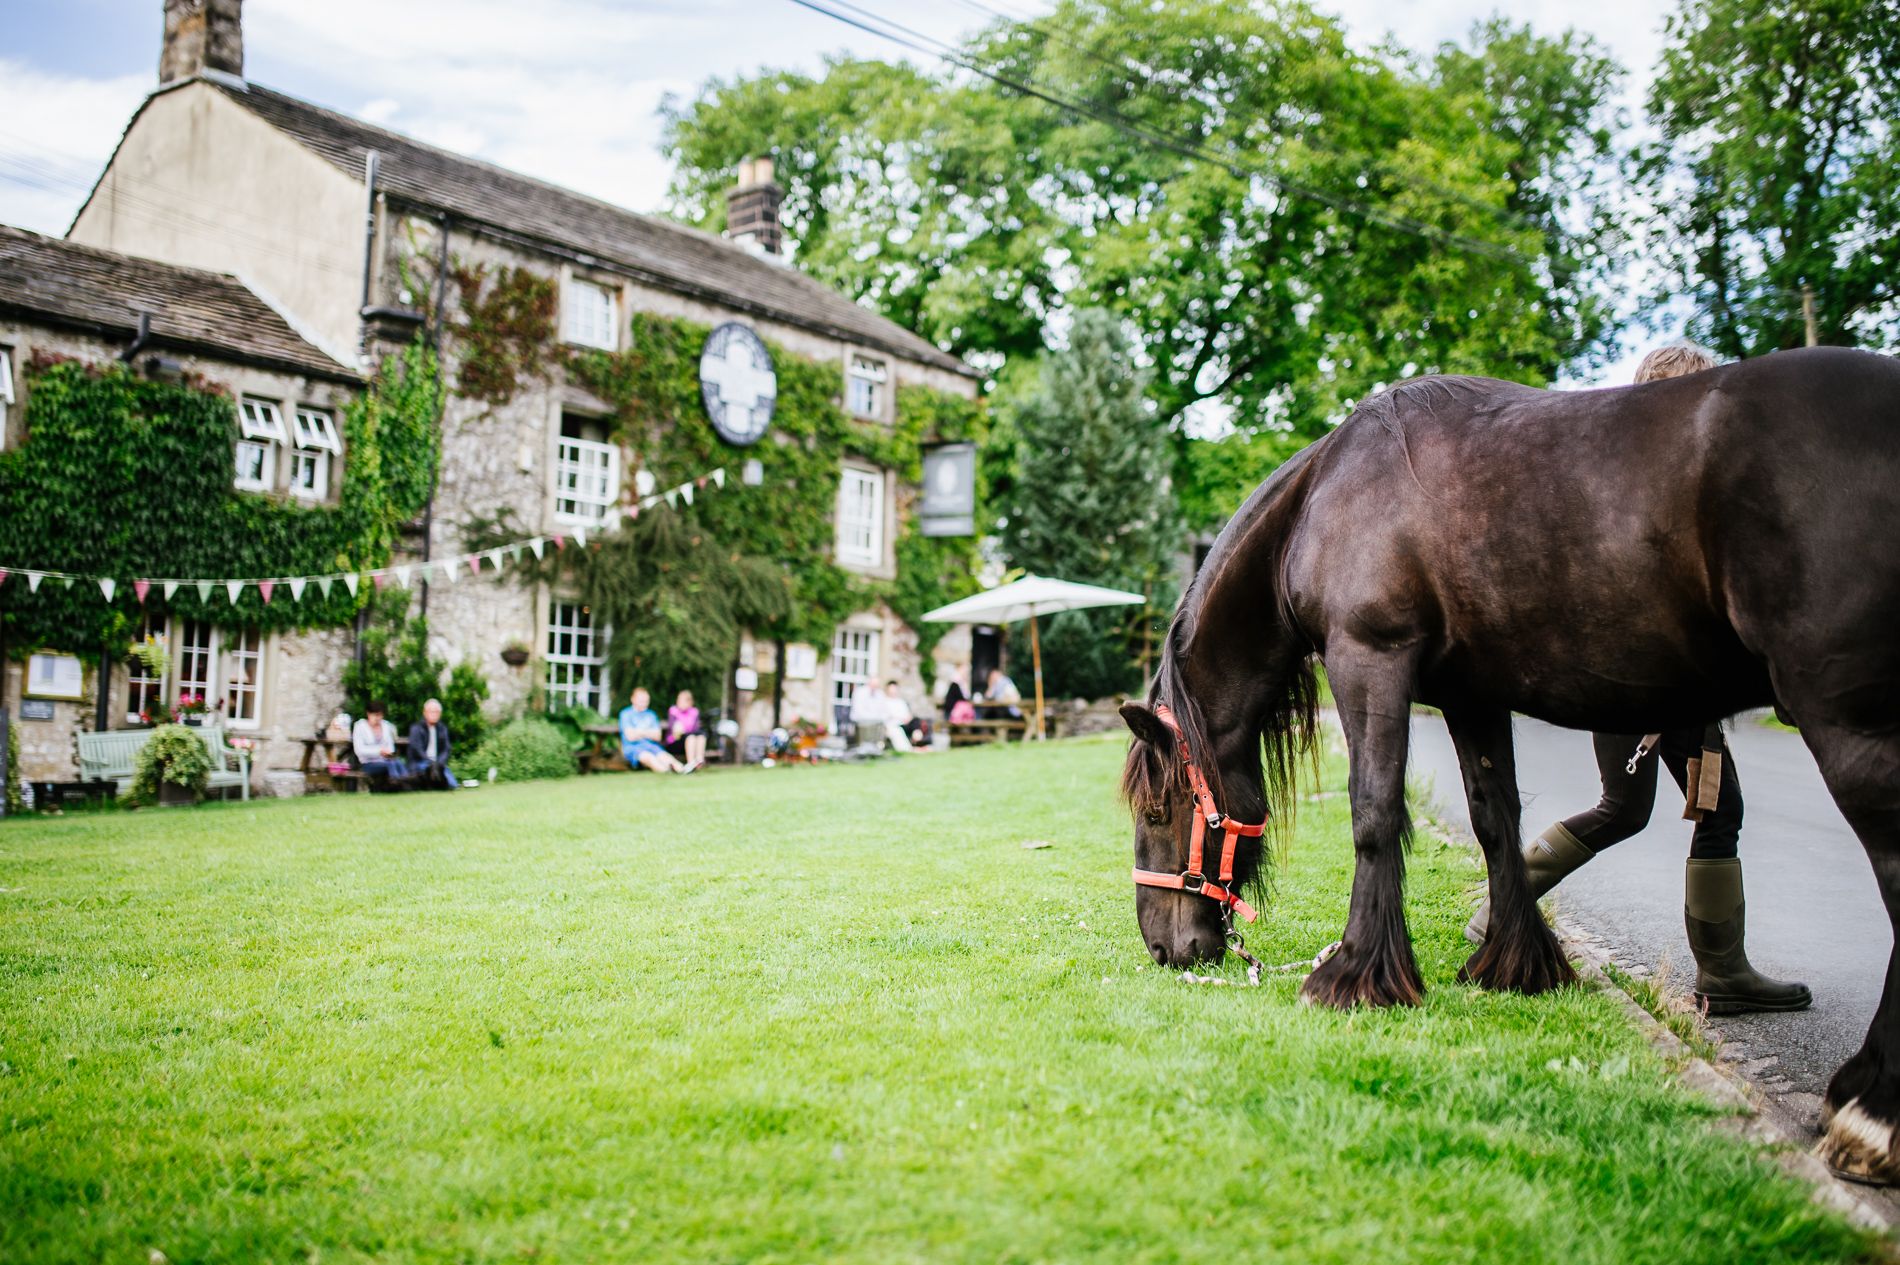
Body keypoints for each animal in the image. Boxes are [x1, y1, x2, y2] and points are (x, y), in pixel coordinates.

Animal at [1117, 341, 1900, 1170]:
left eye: (1158, 810)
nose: (1164, 948)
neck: (1322, 497)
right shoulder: (1472, 696)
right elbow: (1497, 820)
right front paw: (1515, 965)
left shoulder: (1369, 660)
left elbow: (1374, 814)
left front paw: (1356, 974)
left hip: (1850, 726)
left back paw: (1870, 1113)